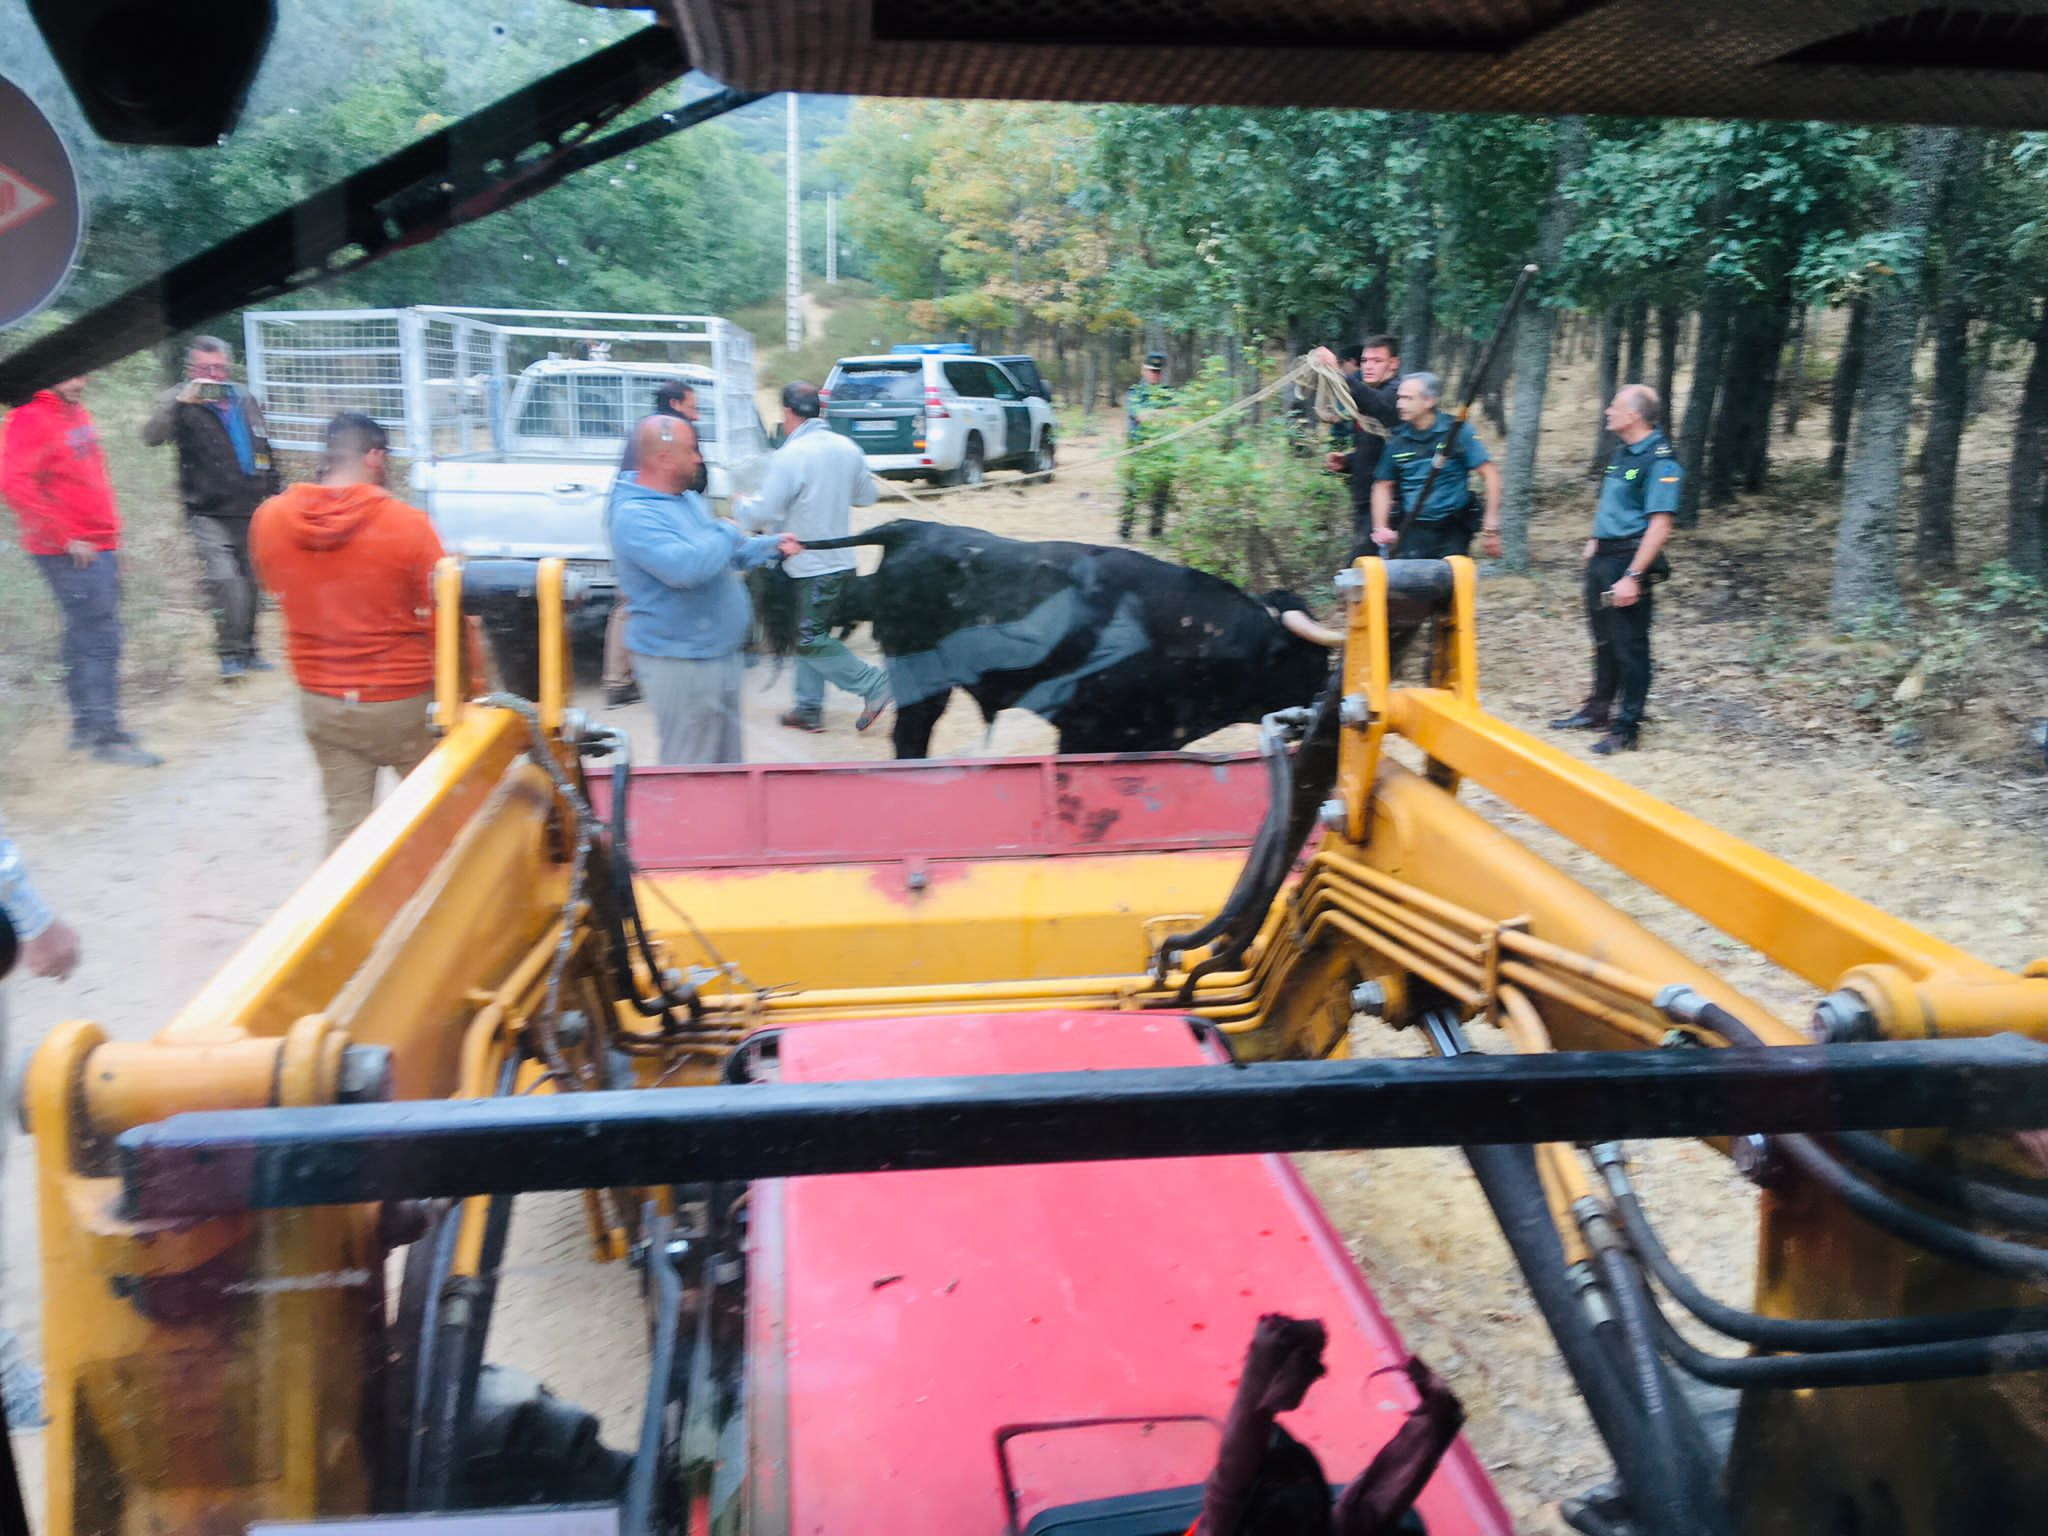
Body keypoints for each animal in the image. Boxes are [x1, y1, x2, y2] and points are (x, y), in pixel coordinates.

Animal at [753, 518, 1343, 757]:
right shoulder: (1085, 733)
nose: (1327, 713)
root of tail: (914, 529)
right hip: (923, 680)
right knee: (910, 737)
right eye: (1312, 664)